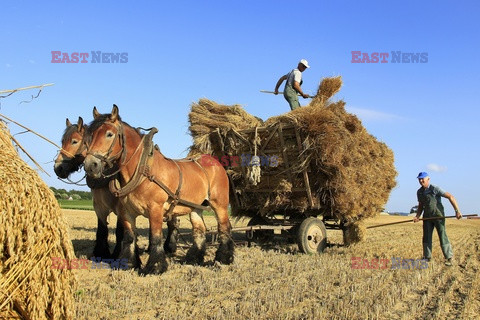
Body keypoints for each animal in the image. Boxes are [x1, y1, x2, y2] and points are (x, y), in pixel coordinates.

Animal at [53, 117, 180, 260]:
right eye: (63, 141)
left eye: (74, 141)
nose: (58, 168)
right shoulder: (99, 206)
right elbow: (102, 230)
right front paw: (101, 253)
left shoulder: (121, 207)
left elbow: (120, 231)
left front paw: (117, 253)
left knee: (172, 222)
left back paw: (169, 247)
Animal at [84, 105, 234, 276]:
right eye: (90, 135)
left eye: (109, 134)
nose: (90, 165)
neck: (142, 170)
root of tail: (216, 162)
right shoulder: (126, 212)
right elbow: (129, 237)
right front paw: (128, 264)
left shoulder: (155, 209)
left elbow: (155, 237)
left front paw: (155, 267)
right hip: (196, 207)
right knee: (199, 230)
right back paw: (194, 258)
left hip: (219, 204)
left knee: (224, 227)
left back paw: (224, 258)